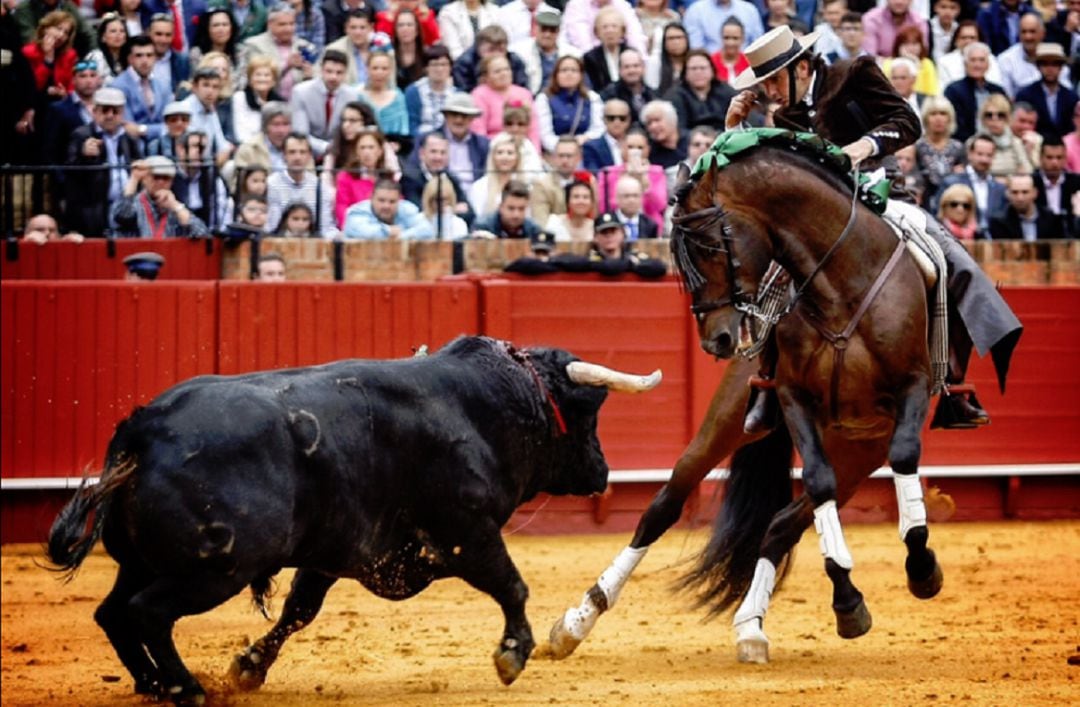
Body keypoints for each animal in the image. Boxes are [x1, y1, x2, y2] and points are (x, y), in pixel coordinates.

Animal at [48, 336, 656, 703]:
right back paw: (184, 687)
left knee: (113, 613)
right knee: (146, 613)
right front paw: (513, 654)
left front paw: (250, 666)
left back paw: (153, 683)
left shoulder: (333, 551)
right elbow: (512, 585)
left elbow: (299, 610)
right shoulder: (467, 532)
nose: (603, 470)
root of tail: (144, 428)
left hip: (143, 563)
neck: (481, 404)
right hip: (214, 570)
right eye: (587, 411)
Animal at [548, 137, 946, 664]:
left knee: (781, 524)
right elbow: (816, 481)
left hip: (861, 449)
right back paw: (579, 618)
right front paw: (848, 597)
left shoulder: (913, 385)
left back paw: (752, 627)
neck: (840, 285)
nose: (716, 339)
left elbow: (904, 457)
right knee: (666, 505)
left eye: (708, 245)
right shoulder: (794, 397)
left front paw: (919, 568)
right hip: (735, 417)